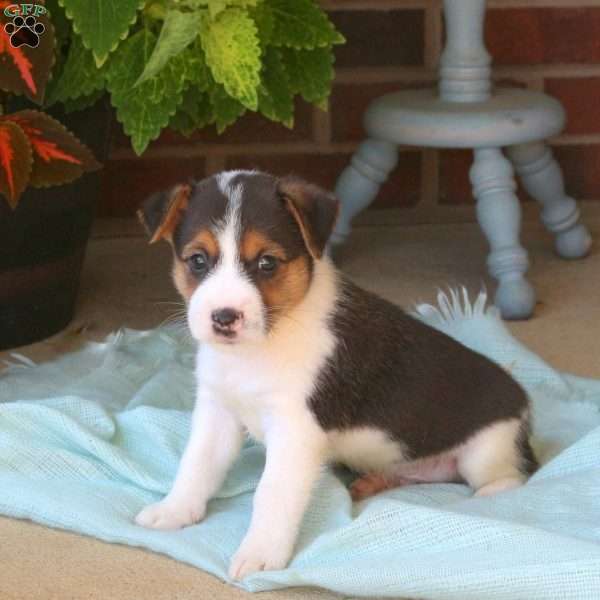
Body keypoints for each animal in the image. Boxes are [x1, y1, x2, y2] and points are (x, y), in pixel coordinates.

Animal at [134, 170, 536, 580]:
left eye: (267, 263)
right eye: (198, 260)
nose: (224, 317)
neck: (257, 349)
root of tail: (522, 404)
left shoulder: (295, 431)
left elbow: (272, 493)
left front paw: (261, 552)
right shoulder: (218, 411)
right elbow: (196, 465)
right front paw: (175, 510)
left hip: (486, 452)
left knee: (513, 477)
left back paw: (488, 495)